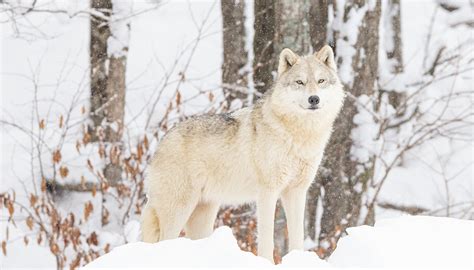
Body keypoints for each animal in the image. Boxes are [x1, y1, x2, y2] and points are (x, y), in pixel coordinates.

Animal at [141, 45, 344, 262]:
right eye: (300, 82)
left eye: (321, 81)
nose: (314, 99)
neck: (299, 135)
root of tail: (162, 142)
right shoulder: (267, 192)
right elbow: (267, 238)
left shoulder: (296, 192)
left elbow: (297, 236)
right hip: (179, 210)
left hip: (203, 215)